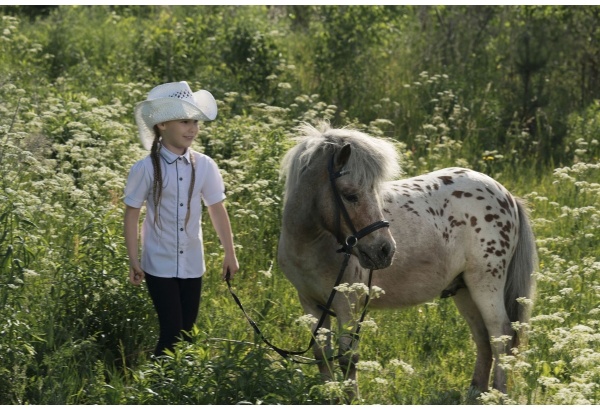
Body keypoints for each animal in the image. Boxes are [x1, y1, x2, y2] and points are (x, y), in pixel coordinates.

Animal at [278, 121, 536, 398]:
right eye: (350, 195)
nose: (385, 250)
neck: (312, 245)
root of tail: (506, 194)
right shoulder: (311, 304)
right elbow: (321, 355)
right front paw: (329, 396)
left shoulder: (347, 305)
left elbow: (347, 359)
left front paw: (351, 399)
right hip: (465, 290)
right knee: (483, 337)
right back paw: (476, 394)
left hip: (485, 285)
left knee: (501, 334)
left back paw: (499, 395)